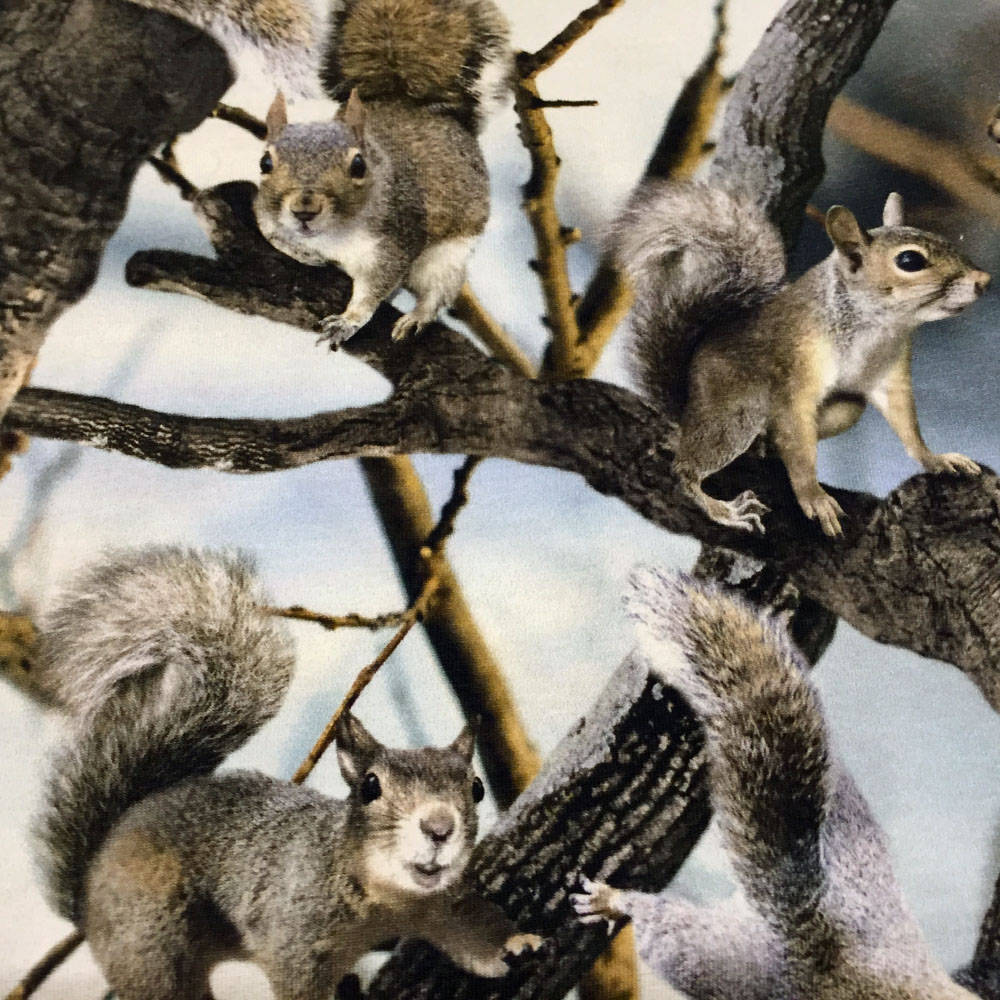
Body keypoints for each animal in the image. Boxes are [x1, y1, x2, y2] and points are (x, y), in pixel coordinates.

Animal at [34, 546, 541, 1000]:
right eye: (370, 787)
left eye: (476, 788)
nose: (439, 828)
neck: (389, 901)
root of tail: (88, 888)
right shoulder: (292, 935)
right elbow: (297, 983)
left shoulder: (444, 905)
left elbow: (476, 936)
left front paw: (517, 942)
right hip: (150, 941)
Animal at [125, 0, 511, 346]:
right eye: (265, 163)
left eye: (358, 165)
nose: (304, 210)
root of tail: (405, 101)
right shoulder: (265, 212)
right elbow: (274, 235)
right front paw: (305, 254)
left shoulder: (394, 240)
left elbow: (374, 289)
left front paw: (348, 321)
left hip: (447, 253)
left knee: (438, 288)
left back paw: (417, 317)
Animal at [612, 182, 990, 536]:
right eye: (909, 261)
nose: (983, 280)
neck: (875, 325)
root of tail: (687, 405)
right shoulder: (794, 377)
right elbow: (799, 445)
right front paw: (815, 498)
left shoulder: (890, 375)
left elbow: (908, 427)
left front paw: (938, 460)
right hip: (733, 418)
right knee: (686, 469)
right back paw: (723, 510)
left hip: (845, 409)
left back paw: (764, 447)